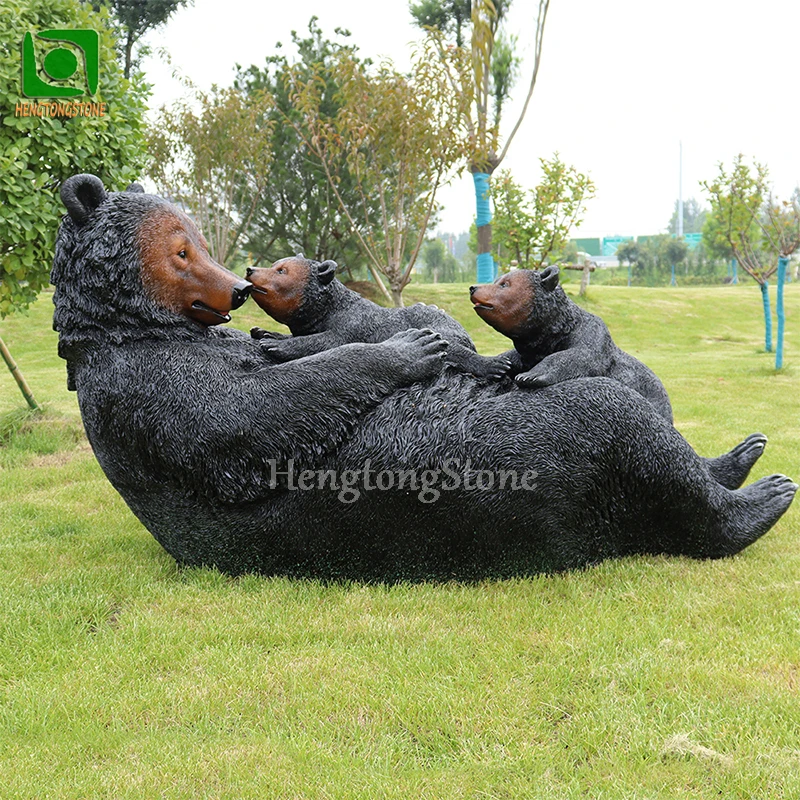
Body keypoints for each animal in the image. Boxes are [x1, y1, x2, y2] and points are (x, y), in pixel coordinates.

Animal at [246, 256, 511, 380]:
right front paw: (267, 332)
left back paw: (492, 365)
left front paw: (276, 344)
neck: (331, 308)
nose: (251, 269)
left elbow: (328, 341)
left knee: (452, 348)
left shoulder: (353, 324)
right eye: (275, 264)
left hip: (442, 330)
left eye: (281, 271)